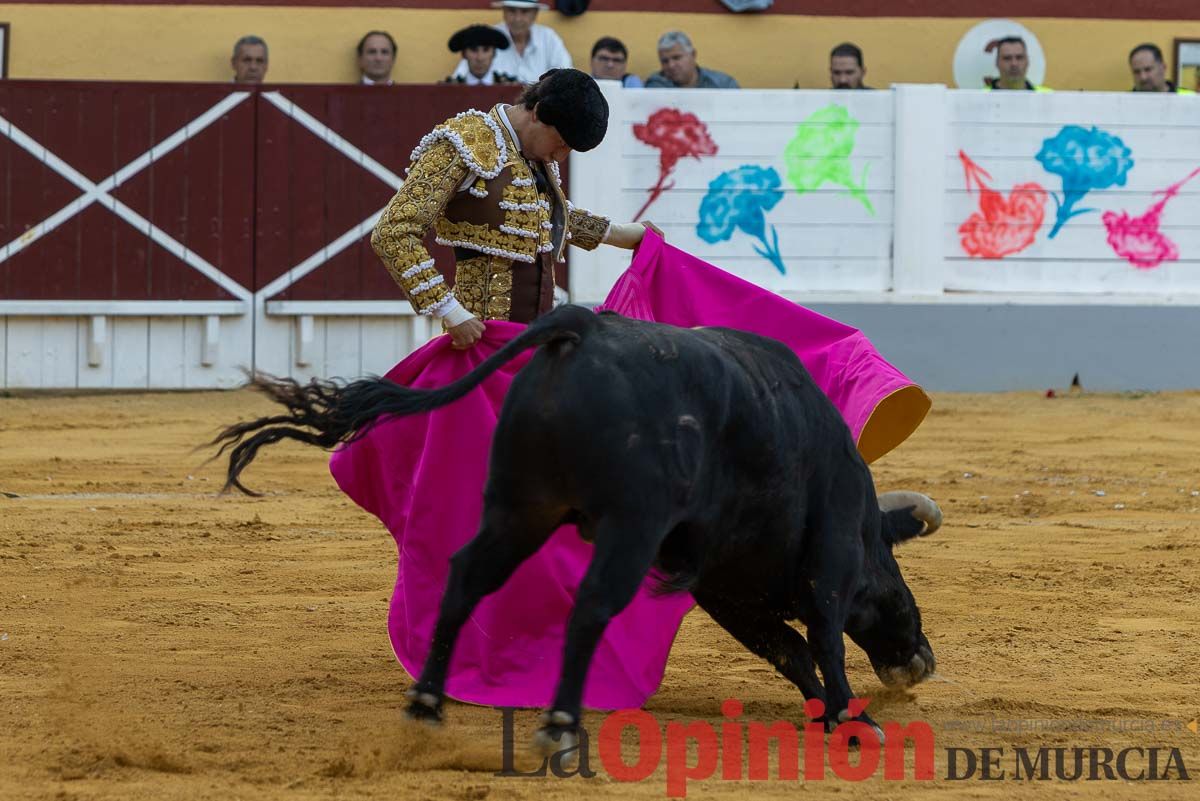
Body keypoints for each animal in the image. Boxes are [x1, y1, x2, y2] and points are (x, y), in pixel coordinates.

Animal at [218, 309, 945, 753]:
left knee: (466, 578)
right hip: (630, 524)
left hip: (520, 508)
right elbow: (821, 639)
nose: (921, 659)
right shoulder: (824, 560)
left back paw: (426, 701)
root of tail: (583, 326)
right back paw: (561, 724)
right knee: (591, 605)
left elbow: (788, 649)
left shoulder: (722, 588)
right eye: (899, 576)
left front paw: (829, 713)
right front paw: (854, 720)